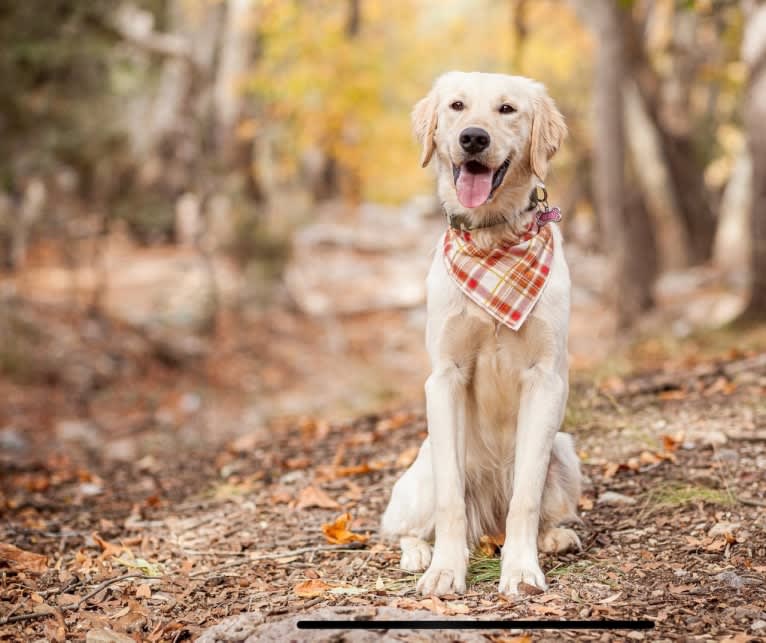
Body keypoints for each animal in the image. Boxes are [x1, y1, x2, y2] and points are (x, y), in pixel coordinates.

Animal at [380, 73, 584, 596]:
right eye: (456, 106)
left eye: (507, 109)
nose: (474, 137)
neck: (494, 241)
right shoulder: (445, 376)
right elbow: (451, 501)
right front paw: (445, 571)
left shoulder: (545, 379)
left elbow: (525, 499)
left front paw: (522, 570)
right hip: (423, 470)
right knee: (403, 527)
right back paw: (419, 553)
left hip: (564, 452)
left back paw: (554, 537)